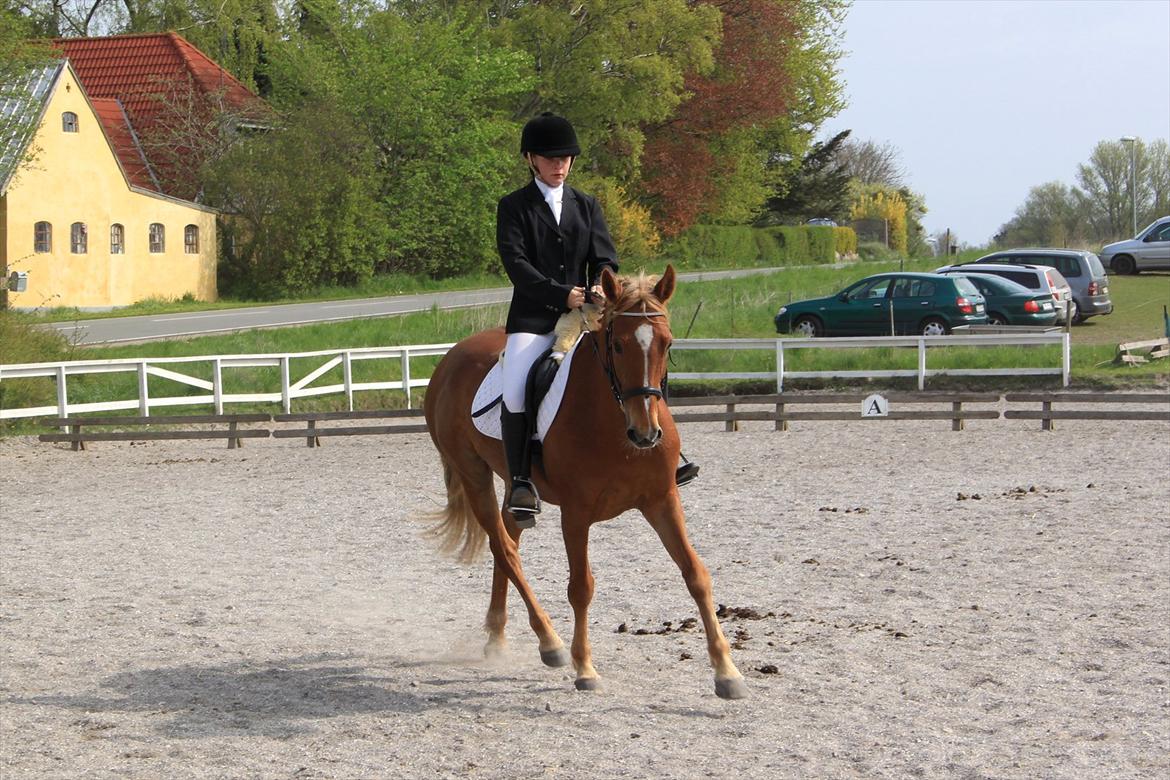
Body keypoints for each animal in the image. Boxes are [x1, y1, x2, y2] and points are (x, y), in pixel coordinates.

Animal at [425, 265, 744, 696]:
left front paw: (726, 671)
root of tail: (451, 358)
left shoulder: (662, 499)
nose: (646, 434)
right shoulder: (575, 514)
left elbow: (696, 574)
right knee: (504, 548)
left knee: (508, 540)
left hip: (513, 483)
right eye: (619, 346)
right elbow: (581, 587)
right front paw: (584, 667)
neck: (613, 422)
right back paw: (550, 643)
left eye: (667, 343)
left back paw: (498, 635)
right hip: (472, 473)